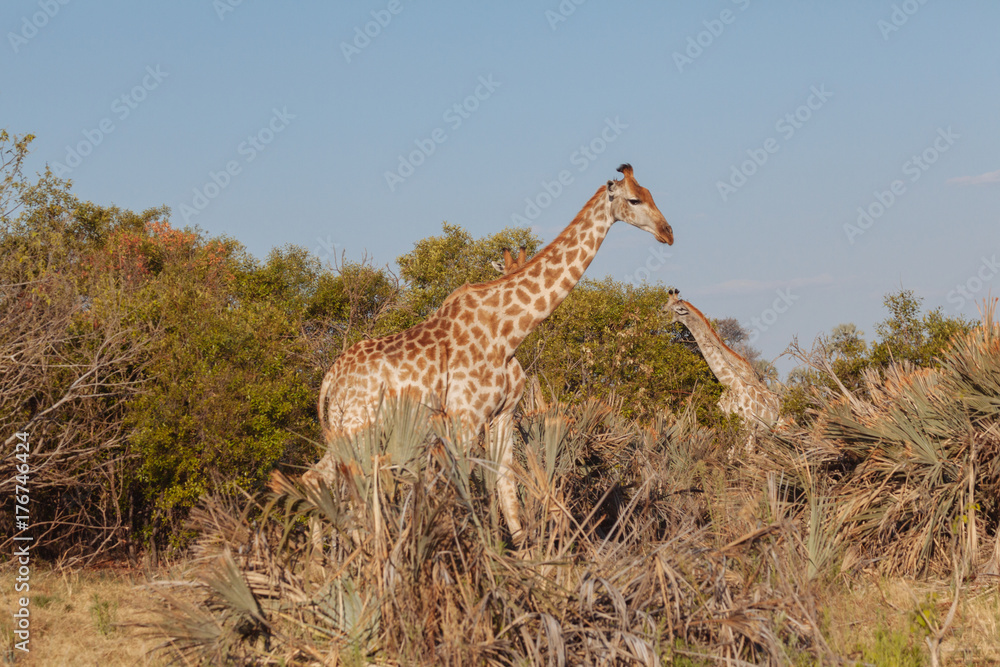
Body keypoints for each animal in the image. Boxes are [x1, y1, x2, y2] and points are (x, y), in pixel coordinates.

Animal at [308, 164, 673, 543]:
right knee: (343, 488)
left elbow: (506, 491)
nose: (668, 233)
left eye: (651, 194)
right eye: (634, 199)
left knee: (321, 481)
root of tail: (330, 379)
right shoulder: (464, 418)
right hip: (358, 428)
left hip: (351, 430)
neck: (509, 331)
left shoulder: (503, 415)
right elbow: (457, 494)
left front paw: (524, 555)